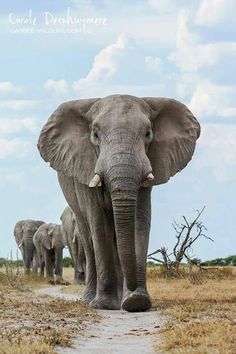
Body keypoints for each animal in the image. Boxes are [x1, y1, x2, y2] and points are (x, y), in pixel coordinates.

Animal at [37, 94, 200, 312]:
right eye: (95, 135)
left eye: (148, 134)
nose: (132, 289)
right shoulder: (85, 168)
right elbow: (99, 224)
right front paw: (104, 305)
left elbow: (139, 221)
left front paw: (136, 302)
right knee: (88, 237)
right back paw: (90, 299)